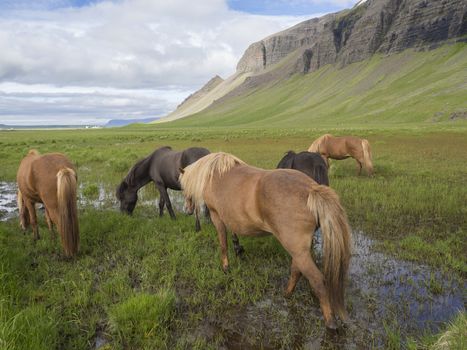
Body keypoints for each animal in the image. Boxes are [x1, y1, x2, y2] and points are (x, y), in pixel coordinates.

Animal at [181, 152, 352, 328]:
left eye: (183, 188)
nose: (186, 210)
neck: (214, 175)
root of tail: (312, 189)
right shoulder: (230, 217)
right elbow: (233, 235)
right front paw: (238, 250)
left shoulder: (217, 217)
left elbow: (223, 243)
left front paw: (226, 267)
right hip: (299, 250)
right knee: (296, 271)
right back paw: (286, 294)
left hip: (298, 250)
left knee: (317, 280)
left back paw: (330, 321)